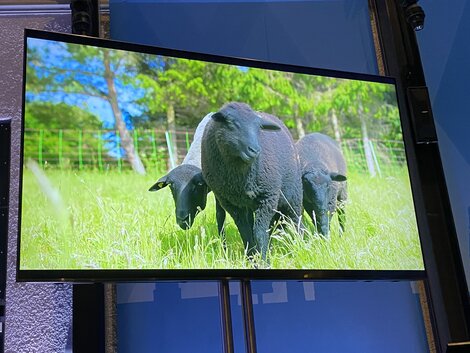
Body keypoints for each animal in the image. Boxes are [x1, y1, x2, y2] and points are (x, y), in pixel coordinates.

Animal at [201, 100, 302, 260]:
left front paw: (263, 260)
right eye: (230, 123)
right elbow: (246, 233)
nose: (255, 150)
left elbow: (259, 233)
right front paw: (252, 258)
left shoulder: (268, 197)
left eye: (258, 127)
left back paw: (303, 245)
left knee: (296, 219)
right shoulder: (230, 203)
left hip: (293, 194)